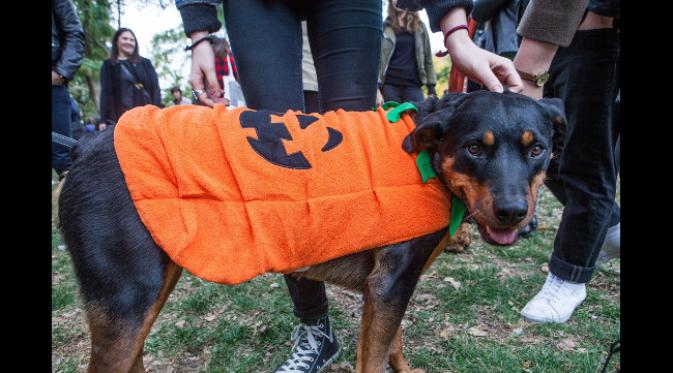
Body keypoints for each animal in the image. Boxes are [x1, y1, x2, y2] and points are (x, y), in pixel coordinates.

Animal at [57, 91, 564, 372]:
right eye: (474, 149)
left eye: (537, 149)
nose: (514, 212)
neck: (426, 154)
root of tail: (83, 145)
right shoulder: (391, 283)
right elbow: (374, 357)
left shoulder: (389, 286)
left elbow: (393, 341)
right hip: (127, 300)